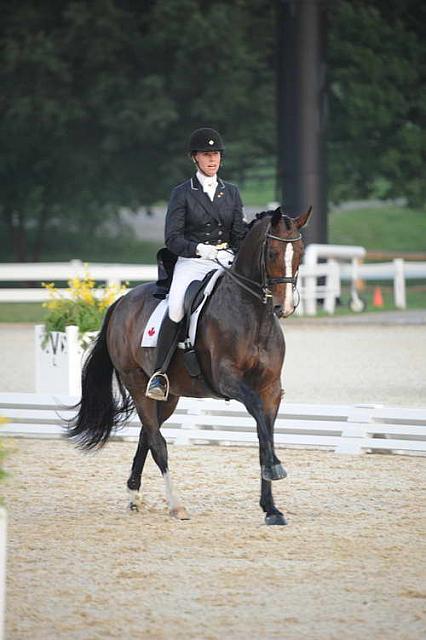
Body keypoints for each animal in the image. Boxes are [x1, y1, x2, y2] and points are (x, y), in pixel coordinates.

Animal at [68, 208, 312, 528]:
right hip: (138, 384)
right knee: (157, 441)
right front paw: (275, 470)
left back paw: (134, 495)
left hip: (169, 396)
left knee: (147, 435)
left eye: (299, 254)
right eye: (271, 252)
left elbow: (264, 435)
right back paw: (176, 505)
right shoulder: (229, 381)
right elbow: (258, 417)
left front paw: (271, 508)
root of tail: (122, 301)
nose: (284, 307)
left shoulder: (270, 388)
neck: (253, 315)